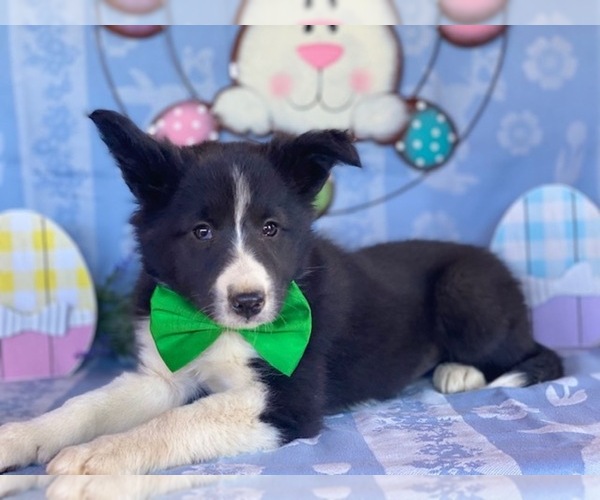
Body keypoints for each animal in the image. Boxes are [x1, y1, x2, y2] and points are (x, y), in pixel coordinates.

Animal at [0, 111, 564, 474]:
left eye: (271, 229)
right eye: (202, 232)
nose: (249, 302)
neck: (217, 328)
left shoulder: (290, 400)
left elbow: (184, 418)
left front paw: (97, 458)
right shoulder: (162, 373)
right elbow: (85, 406)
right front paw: (21, 436)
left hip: (466, 290)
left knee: (534, 352)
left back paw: (460, 369)